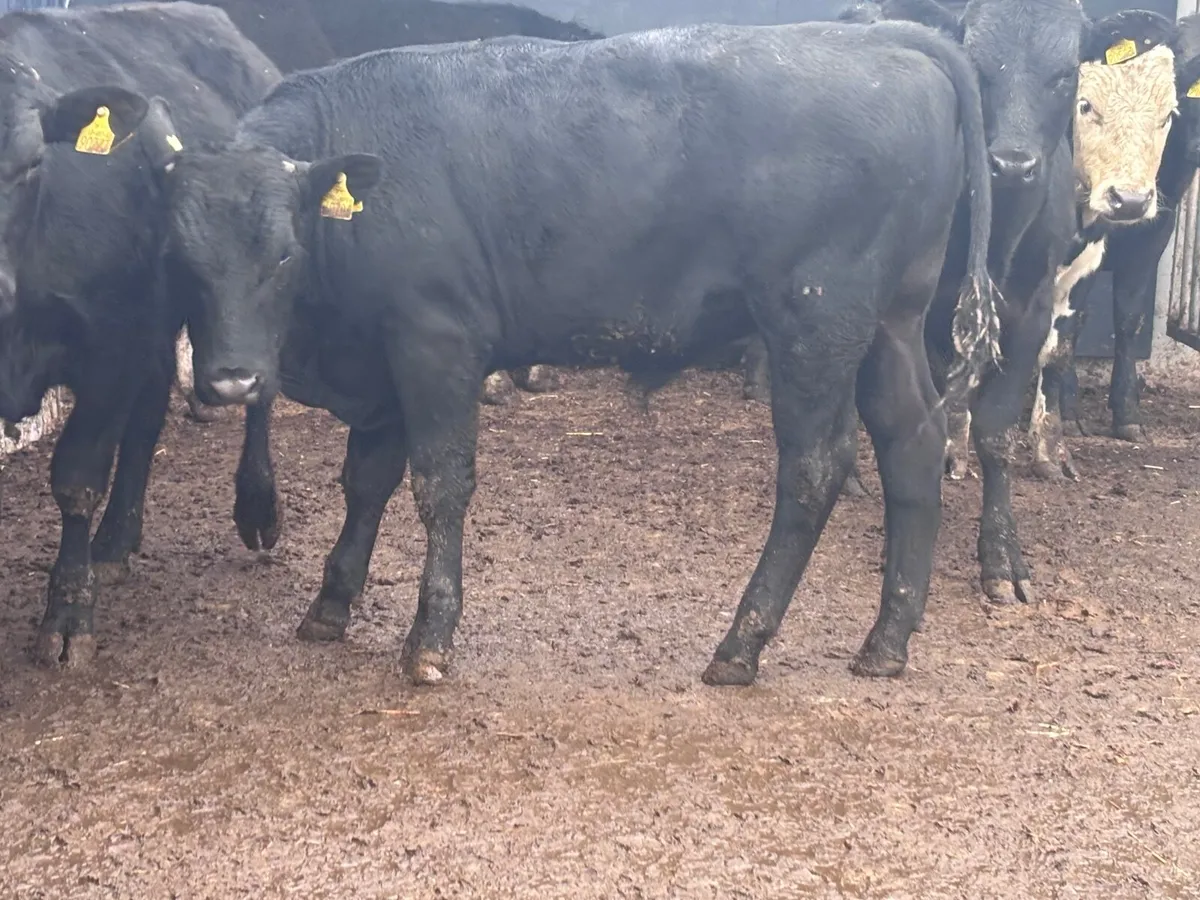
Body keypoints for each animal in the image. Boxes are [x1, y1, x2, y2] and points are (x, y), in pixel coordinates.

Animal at [0, 1, 282, 667]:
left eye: (31, 163)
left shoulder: (108, 347)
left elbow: (76, 478)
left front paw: (69, 613)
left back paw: (256, 504)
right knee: (151, 408)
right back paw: (116, 540)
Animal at [145, 21, 999, 685]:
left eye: (284, 254)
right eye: (181, 261)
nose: (233, 379)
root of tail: (887, 37)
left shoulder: (435, 340)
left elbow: (438, 484)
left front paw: (430, 638)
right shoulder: (383, 361)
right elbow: (366, 481)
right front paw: (331, 603)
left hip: (814, 321)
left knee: (816, 467)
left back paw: (742, 642)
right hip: (890, 323)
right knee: (912, 441)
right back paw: (886, 640)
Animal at [1030, 11, 1184, 480]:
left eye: (1168, 114)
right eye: (1085, 105)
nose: (1130, 200)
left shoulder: (1088, 265)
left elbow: (1058, 348)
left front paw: (1051, 451)